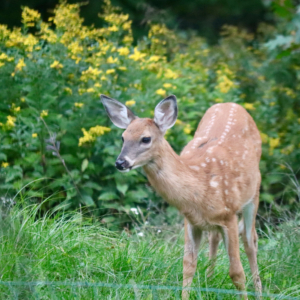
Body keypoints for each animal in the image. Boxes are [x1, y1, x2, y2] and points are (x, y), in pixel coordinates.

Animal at [101, 94, 262, 298]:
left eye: (146, 138)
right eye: (123, 137)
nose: (120, 162)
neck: (201, 185)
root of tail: (231, 104)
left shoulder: (229, 214)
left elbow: (236, 272)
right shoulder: (191, 220)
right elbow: (188, 265)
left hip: (254, 193)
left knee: (250, 240)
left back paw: (259, 291)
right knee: (214, 238)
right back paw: (209, 282)